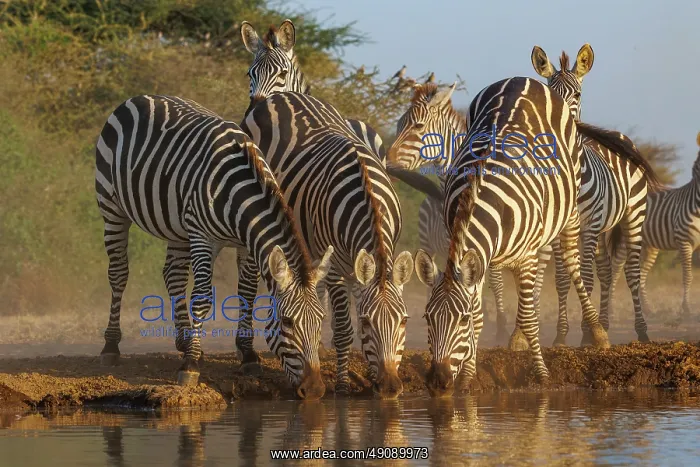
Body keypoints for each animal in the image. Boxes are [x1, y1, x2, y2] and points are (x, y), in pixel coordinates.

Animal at [95, 95, 333, 399]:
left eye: (321, 320)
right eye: (288, 322)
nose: (314, 390)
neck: (239, 191)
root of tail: (138, 98)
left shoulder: (245, 244)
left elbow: (247, 293)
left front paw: (247, 355)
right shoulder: (202, 236)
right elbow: (202, 298)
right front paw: (191, 366)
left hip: (177, 226)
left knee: (173, 275)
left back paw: (184, 341)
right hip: (112, 207)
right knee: (118, 273)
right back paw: (111, 346)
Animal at [241, 92, 414, 398]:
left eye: (404, 321)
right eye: (366, 322)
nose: (391, 388)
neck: (367, 200)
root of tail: (282, 94)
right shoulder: (335, 269)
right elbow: (344, 329)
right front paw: (343, 387)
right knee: (248, 277)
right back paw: (247, 354)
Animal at [411, 76, 611, 396]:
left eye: (461, 320)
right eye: (427, 318)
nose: (438, 383)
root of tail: (521, 79)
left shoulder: (525, 256)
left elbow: (530, 319)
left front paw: (542, 376)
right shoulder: (477, 259)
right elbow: (482, 316)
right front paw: (467, 378)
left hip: (569, 213)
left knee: (571, 263)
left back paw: (597, 332)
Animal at [531, 44, 662, 344]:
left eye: (577, 94)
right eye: (549, 95)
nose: (559, 125)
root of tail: (622, 136)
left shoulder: (589, 225)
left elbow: (586, 277)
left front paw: (586, 335)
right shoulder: (564, 229)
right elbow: (563, 279)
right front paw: (563, 336)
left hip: (632, 216)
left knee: (631, 272)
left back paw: (642, 331)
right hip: (605, 226)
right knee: (607, 270)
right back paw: (605, 323)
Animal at [608, 133, 700, 320]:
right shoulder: (684, 242)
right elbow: (688, 276)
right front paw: (686, 309)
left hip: (648, 245)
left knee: (641, 274)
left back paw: (648, 309)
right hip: (624, 240)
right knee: (616, 270)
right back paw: (611, 310)